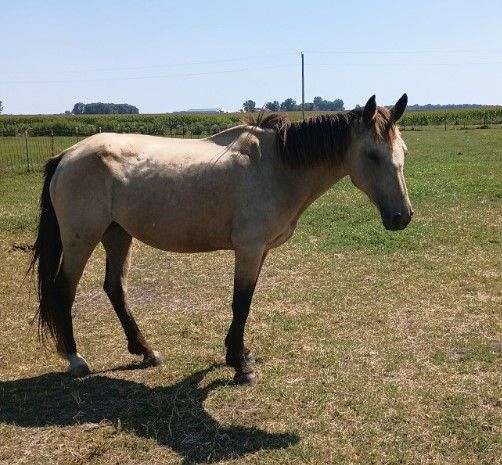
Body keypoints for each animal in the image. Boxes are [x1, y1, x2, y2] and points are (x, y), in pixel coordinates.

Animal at [28, 92, 412, 382]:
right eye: (372, 155)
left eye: (404, 152)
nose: (402, 217)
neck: (276, 166)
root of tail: (67, 155)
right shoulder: (249, 249)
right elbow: (241, 302)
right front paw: (240, 365)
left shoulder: (260, 251)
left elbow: (246, 301)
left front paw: (238, 353)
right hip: (81, 239)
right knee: (64, 289)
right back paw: (76, 359)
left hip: (117, 235)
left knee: (114, 289)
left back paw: (146, 351)